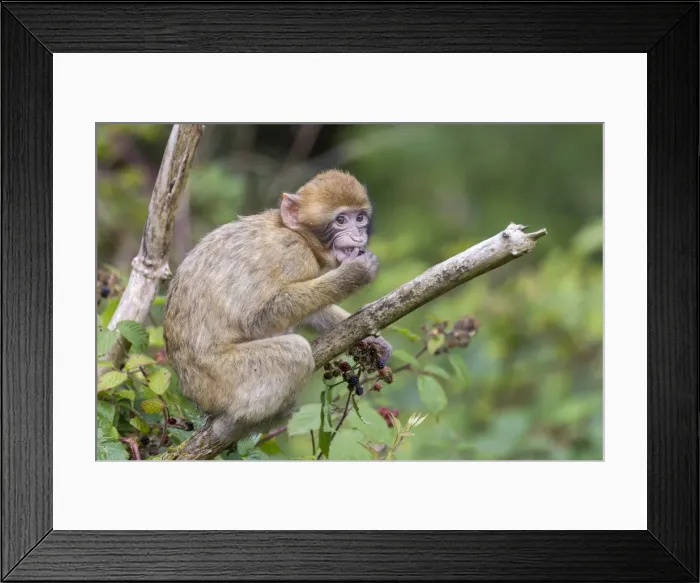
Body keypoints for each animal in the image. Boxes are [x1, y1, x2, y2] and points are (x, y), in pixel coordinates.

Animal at [163, 169, 392, 448]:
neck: (294, 232)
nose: (359, 235)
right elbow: (257, 320)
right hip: (223, 376)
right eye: (340, 220)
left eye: (359, 217)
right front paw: (354, 274)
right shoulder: (292, 254)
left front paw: (372, 339)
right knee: (296, 351)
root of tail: (190, 389)